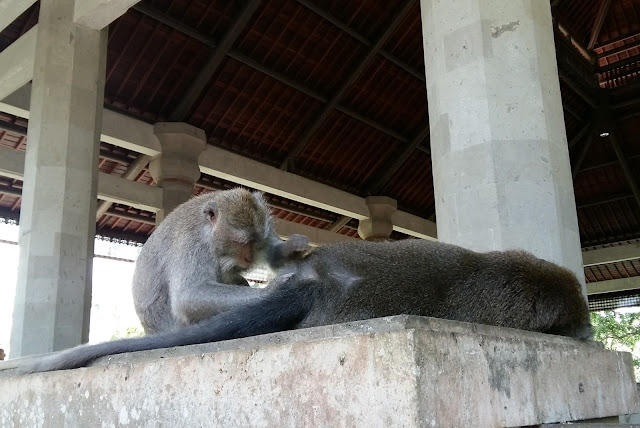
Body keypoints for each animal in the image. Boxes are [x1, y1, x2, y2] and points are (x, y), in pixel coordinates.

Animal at [133, 188, 310, 334]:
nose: (248, 258)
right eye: (240, 242)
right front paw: (273, 290)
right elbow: (188, 296)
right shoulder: (191, 243)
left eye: (255, 242)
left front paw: (292, 247)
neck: (208, 232)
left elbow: (273, 256)